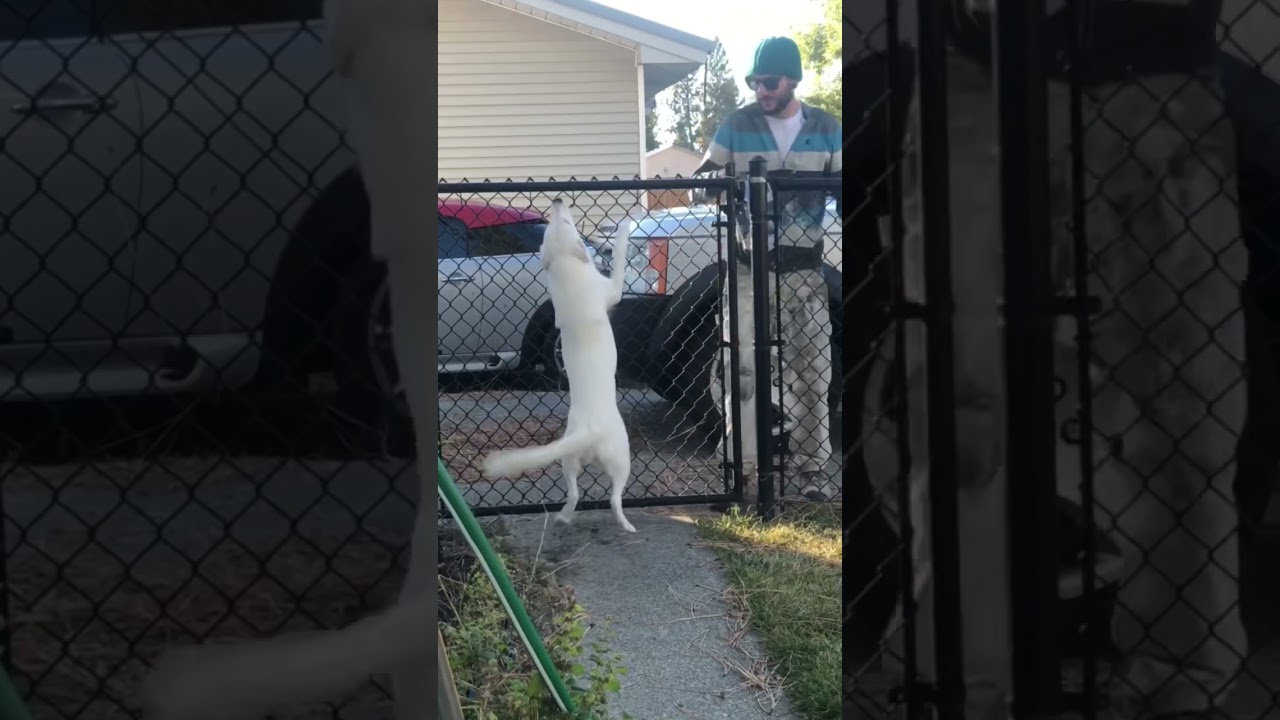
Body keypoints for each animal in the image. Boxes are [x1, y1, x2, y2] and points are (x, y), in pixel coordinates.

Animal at [481, 198, 634, 530]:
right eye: (567, 224)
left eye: (554, 225)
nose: (558, 201)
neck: (567, 271)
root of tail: (588, 431)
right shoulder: (612, 290)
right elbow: (619, 260)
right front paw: (624, 229)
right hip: (621, 457)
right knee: (615, 497)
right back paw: (626, 524)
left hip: (569, 462)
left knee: (574, 493)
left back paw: (564, 516)